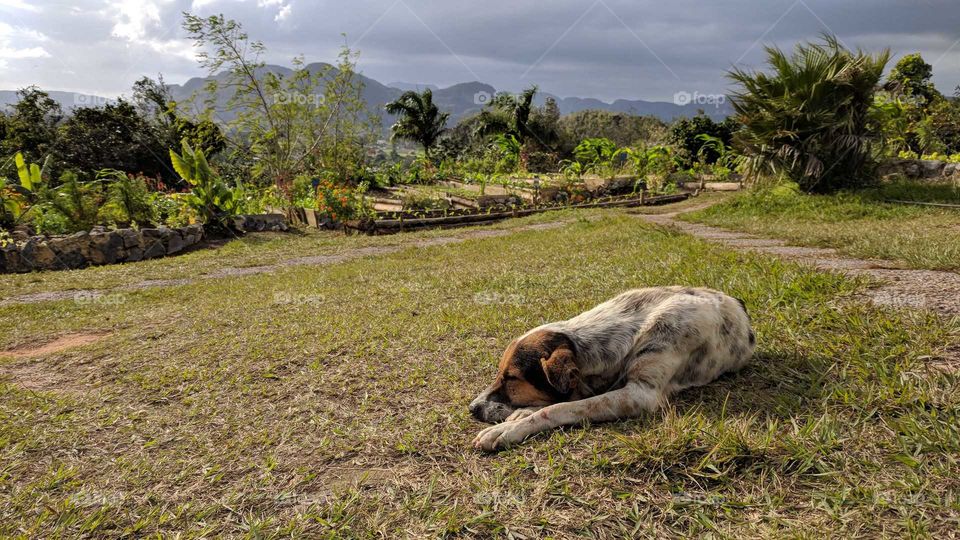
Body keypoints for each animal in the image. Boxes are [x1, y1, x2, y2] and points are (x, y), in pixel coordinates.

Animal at [468, 286, 752, 452]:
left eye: (511, 378)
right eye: (499, 374)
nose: (472, 408)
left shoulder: (641, 394)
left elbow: (559, 408)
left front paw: (507, 430)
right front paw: (520, 414)